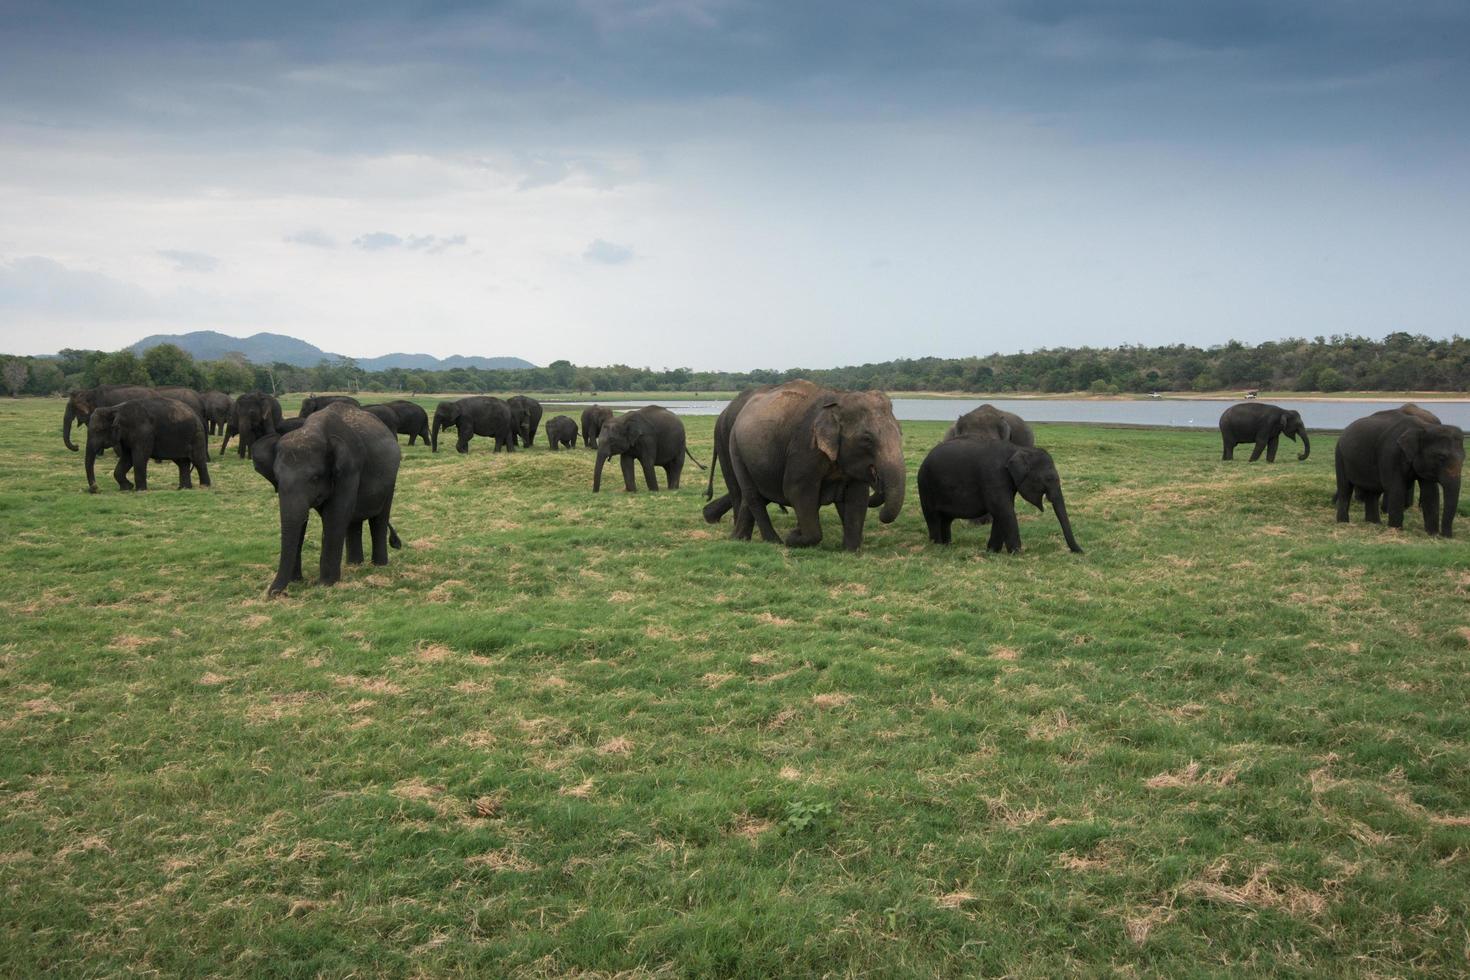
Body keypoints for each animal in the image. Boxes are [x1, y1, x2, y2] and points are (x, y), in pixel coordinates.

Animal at [251, 405, 402, 599]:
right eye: (277, 479)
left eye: (315, 478)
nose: (272, 593)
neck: (314, 430)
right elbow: (302, 521)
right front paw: (296, 581)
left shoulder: (349, 469)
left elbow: (335, 515)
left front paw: (325, 585)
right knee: (353, 521)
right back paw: (354, 565)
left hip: (391, 479)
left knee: (379, 519)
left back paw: (378, 565)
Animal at [702, 382, 899, 552]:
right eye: (867, 439)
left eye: (900, 432)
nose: (876, 476)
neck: (839, 398)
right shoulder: (804, 448)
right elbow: (797, 491)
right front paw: (794, 537)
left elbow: (857, 496)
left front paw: (851, 550)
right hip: (734, 447)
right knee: (750, 494)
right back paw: (773, 541)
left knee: (749, 494)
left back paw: (738, 538)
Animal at [917, 434, 1081, 552]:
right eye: (1049, 478)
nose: (1081, 552)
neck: (1018, 449)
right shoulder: (994, 476)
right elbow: (1003, 510)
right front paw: (1017, 552)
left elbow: (1002, 511)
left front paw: (992, 551)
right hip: (925, 486)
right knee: (933, 517)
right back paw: (937, 545)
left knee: (946, 519)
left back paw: (947, 545)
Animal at [1334, 411, 1458, 540]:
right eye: (1441, 457)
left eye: (1464, 457)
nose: (1446, 536)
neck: (1424, 427)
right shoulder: (1391, 454)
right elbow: (1396, 488)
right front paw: (1396, 530)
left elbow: (1431, 492)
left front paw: (1432, 534)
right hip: (1340, 456)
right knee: (1345, 488)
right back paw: (1344, 522)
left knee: (1373, 492)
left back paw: (1374, 523)